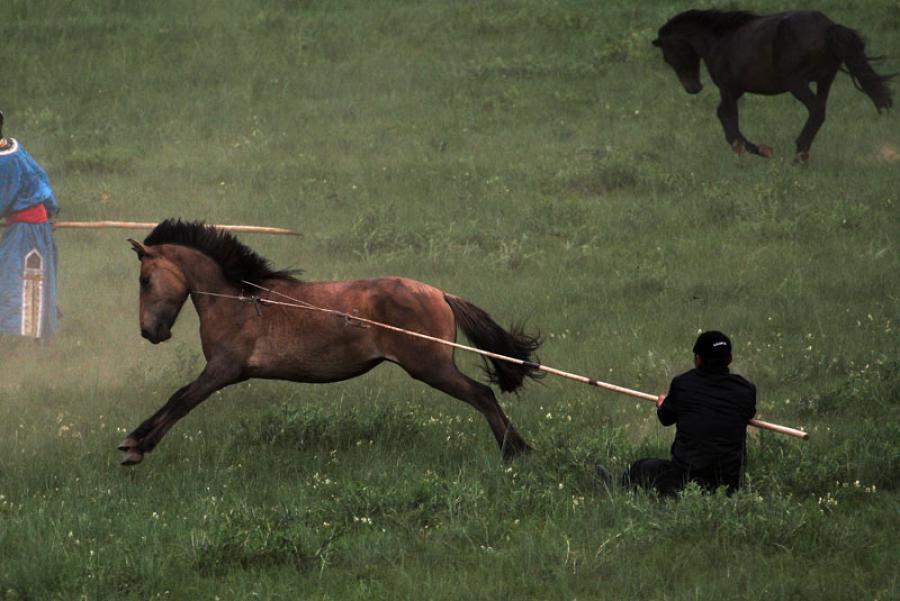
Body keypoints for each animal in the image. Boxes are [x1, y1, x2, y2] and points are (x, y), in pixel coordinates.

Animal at [119, 219, 540, 464]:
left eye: (144, 280)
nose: (149, 332)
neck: (238, 298)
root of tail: (440, 293)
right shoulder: (223, 371)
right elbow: (180, 399)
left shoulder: (223, 370)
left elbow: (180, 399)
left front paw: (135, 446)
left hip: (432, 367)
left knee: (483, 395)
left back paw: (515, 453)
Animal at [652, 9, 892, 164]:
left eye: (667, 56)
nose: (692, 88)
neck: (718, 40)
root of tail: (828, 27)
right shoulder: (735, 90)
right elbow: (723, 116)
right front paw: (749, 148)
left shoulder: (728, 89)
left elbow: (729, 118)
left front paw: (758, 150)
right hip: (825, 79)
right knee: (820, 111)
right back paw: (804, 153)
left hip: (797, 82)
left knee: (816, 110)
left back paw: (799, 154)